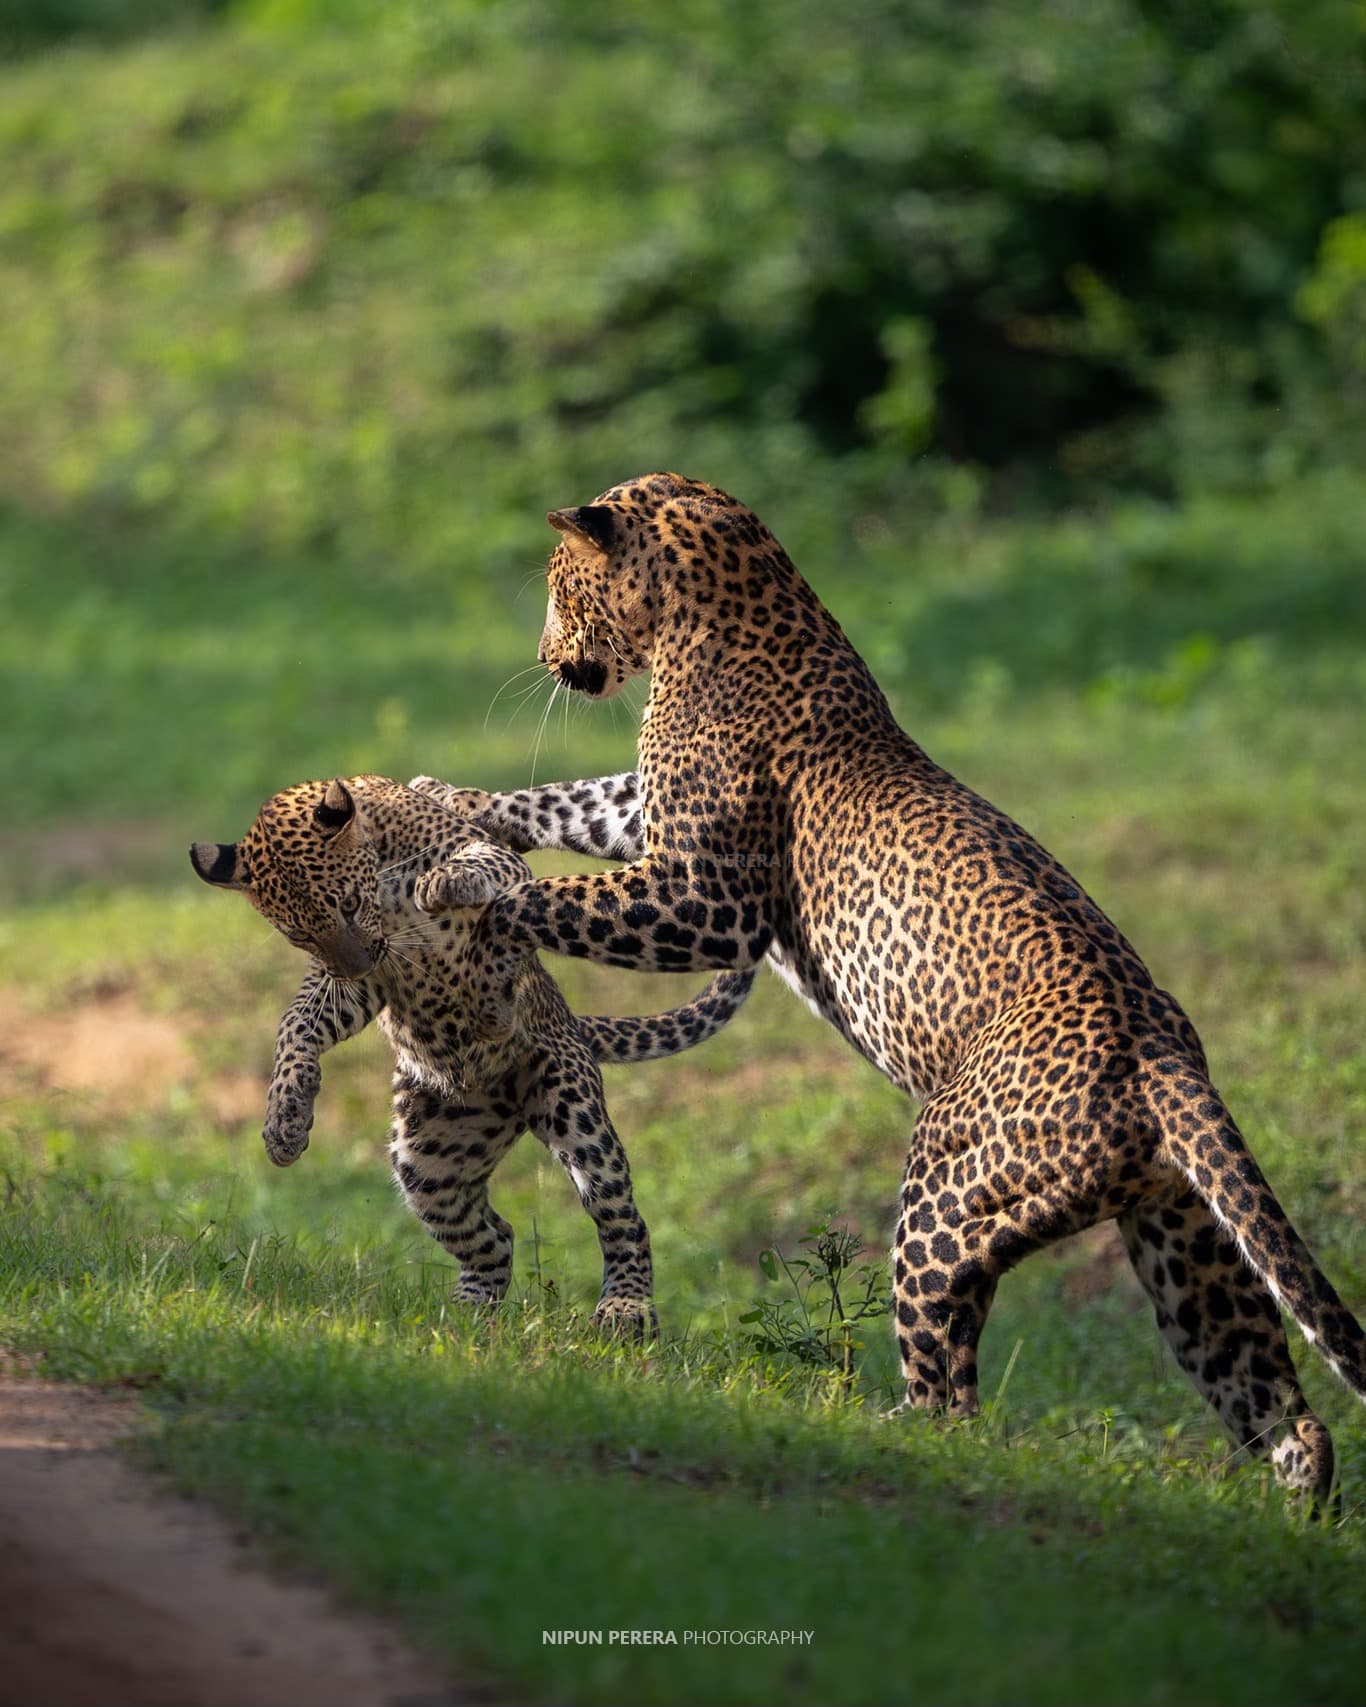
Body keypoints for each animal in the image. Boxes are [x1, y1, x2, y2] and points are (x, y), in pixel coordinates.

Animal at [190, 772, 753, 1332]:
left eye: (347, 904)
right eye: (299, 933)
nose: (354, 965)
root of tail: (573, 1022)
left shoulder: (487, 862)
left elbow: (478, 866)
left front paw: (443, 885)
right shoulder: (365, 984)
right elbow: (298, 1022)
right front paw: (285, 1119)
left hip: (571, 1107)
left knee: (622, 1217)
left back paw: (625, 1309)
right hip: (429, 1158)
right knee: (495, 1236)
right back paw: (464, 1317)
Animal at [417, 470, 1366, 1506]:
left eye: (558, 586)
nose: (546, 658)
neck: (722, 608)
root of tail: (1163, 1056)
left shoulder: (707, 896)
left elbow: (557, 894)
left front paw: (461, 884)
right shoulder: (647, 815)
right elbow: (573, 797)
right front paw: (459, 803)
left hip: (946, 1200)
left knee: (950, 1388)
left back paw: (887, 1435)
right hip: (1187, 1240)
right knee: (1281, 1405)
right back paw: (1290, 1513)